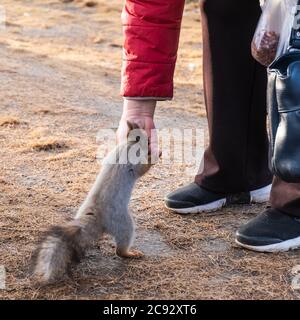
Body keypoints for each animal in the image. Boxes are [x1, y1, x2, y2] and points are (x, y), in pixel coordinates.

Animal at [31, 123, 155, 284]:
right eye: (145, 138)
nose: (151, 143)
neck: (128, 144)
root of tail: (97, 216)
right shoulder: (133, 162)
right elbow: (142, 169)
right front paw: (155, 156)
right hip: (123, 223)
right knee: (120, 249)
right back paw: (130, 253)